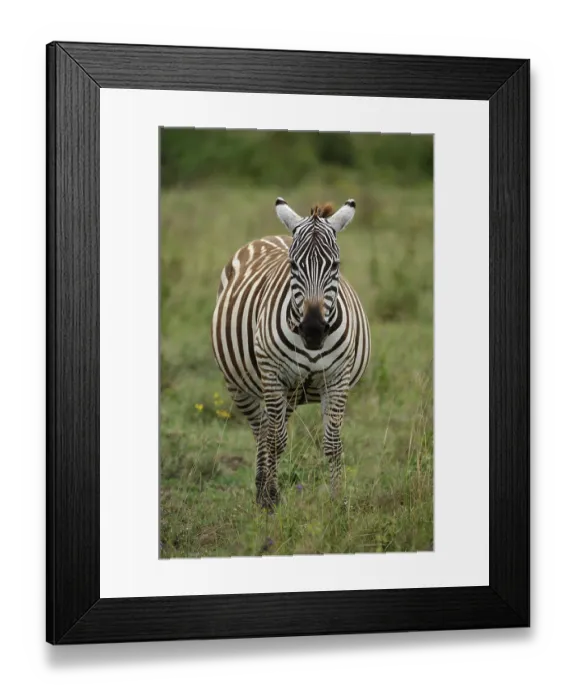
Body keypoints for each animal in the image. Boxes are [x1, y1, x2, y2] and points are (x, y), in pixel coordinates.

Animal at [211, 197, 371, 509]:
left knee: (270, 428)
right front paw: (271, 498)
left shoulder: (338, 379)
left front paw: (337, 501)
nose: (313, 330)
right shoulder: (273, 376)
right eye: (293, 265)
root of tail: (271, 236)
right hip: (240, 385)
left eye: (335, 265)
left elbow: (332, 443)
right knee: (263, 430)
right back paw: (262, 490)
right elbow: (275, 440)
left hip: (291, 394)